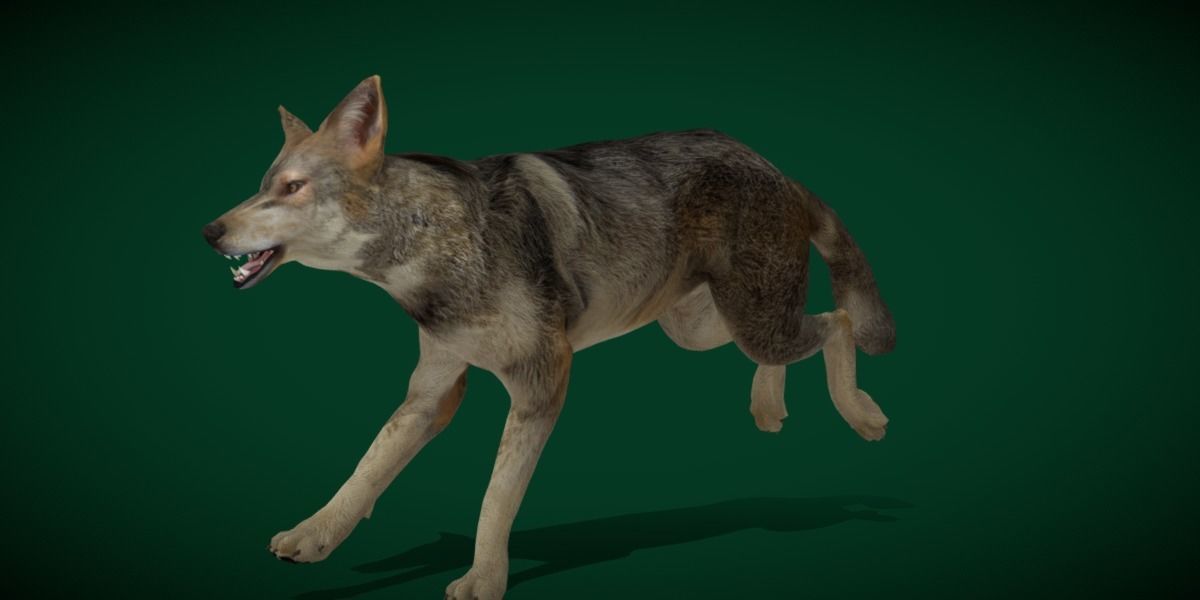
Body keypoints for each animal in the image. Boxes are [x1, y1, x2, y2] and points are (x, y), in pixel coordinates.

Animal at [201, 75, 895, 599]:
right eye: (263, 186)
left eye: (292, 188)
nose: (209, 231)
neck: (435, 251)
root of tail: (772, 164)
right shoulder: (432, 391)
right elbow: (365, 469)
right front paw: (316, 534)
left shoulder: (542, 383)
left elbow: (496, 497)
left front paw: (484, 579)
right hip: (703, 327)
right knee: (804, 336)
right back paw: (768, 407)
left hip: (748, 320)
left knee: (837, 324)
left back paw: (858, 413)